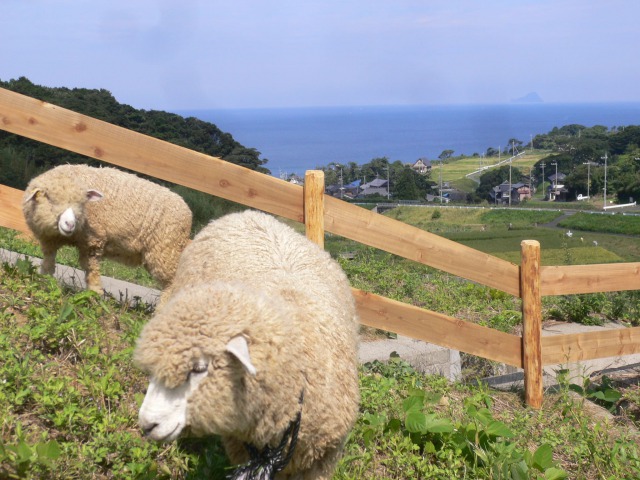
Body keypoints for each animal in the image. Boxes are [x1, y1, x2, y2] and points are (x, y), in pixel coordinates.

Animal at [22, 164, 192, 292]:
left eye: (82, 203)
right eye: (49, 198)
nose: (70, 224)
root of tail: (187, 209)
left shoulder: (93, 241)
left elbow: (91, 269)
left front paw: (94, 293)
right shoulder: (49, 240)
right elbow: (48, 262)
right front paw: (44, 280)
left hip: (165, 251)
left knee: (172, 284)